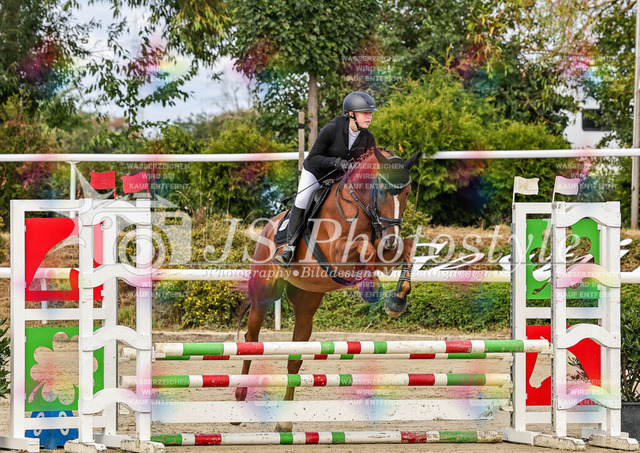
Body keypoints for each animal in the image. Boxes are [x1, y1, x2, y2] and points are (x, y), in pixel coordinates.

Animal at [236, 147, 421, 432]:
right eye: (381, 190)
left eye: (408, 192)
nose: (390, 241)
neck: (361, 206)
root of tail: (268, 227)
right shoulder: (338, 253)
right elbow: (365, 247)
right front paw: (372, 289)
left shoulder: (386, 253)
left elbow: (407, 248)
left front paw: (396, 301)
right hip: (264, 294)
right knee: (251, 339)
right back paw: (240, 399)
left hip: (306, 305)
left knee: (294, 359)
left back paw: (285, 424)